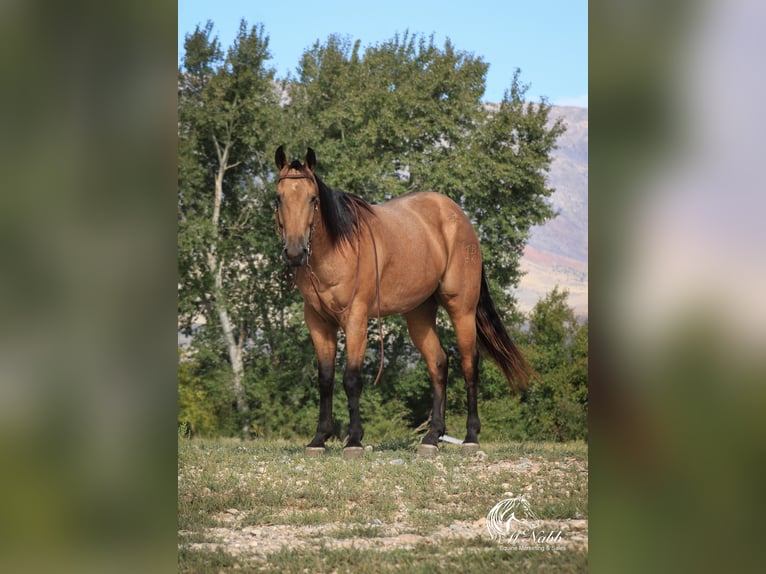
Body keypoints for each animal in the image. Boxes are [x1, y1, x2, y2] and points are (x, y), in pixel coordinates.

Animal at [276, 147, 536, 460]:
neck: (338, 249)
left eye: (313, 199)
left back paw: (471, 437)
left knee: (469, 363)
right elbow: (325, 379)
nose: (294, 252)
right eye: (278, 198)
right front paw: (319, 439)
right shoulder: (318, 322)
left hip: (462, 309)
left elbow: (351, 379)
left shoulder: (356, 320)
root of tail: (458, 217)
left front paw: (354, 441)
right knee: (439, 363)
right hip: (419, 315)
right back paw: (432, 437)